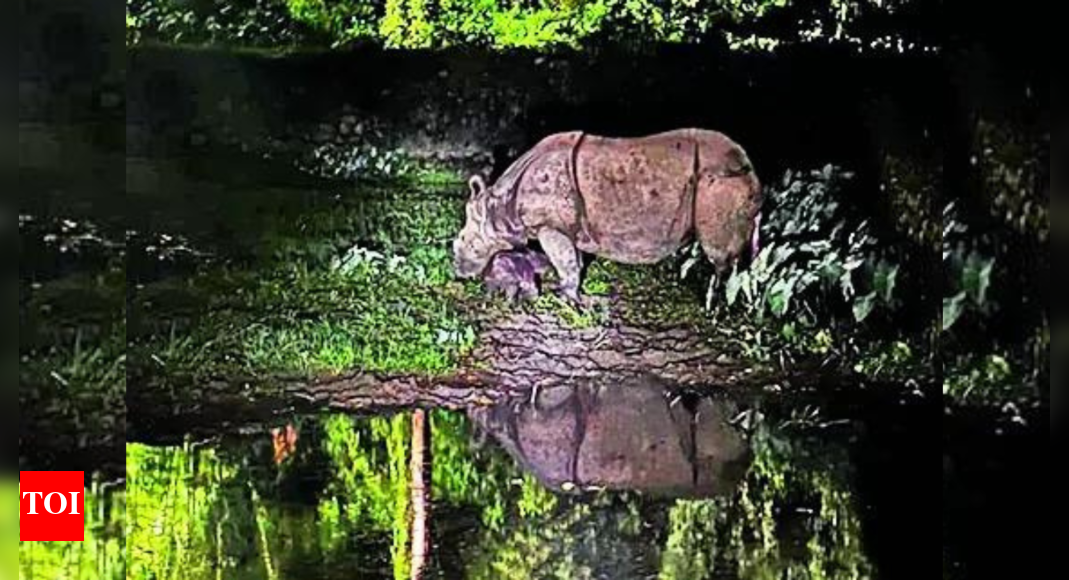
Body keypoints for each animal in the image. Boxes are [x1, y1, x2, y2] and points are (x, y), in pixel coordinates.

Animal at [452, 128, 763, 304]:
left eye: (467, 243)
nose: (459, 271)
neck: (499, 206)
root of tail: (752, 171)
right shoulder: (568, 228)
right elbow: (575, 261)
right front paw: (573, 295)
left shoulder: (549, 226)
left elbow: (565, 261)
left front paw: (563, 299)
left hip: (718, 183)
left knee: (720, 257)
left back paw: (717, 308)